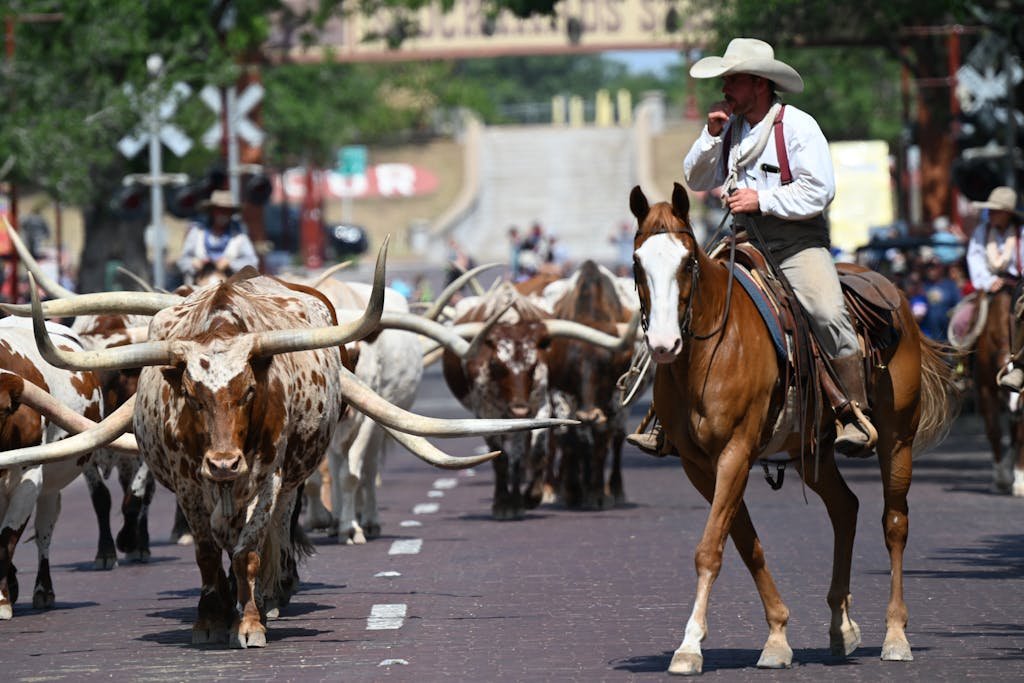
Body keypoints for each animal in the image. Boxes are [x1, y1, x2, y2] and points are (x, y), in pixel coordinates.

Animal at [0, 317, 104, 619]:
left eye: (2, 410)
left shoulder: (29, 480)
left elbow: (6, 541)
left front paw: (2, 602)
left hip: (49, 487)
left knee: (44, 532)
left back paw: (43, 591)